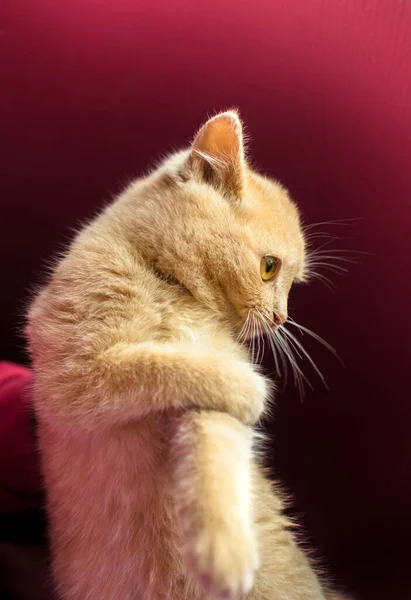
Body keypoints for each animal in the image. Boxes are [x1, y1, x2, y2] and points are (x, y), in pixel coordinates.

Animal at [27, 110, 346, 596]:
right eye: (269, 268)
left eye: (294, 285)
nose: (281, 318)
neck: (171, 291)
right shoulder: (71, 379)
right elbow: (153, 364)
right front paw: (250, 386)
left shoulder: (204, 414)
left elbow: (214, 459)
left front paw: (225, 553)